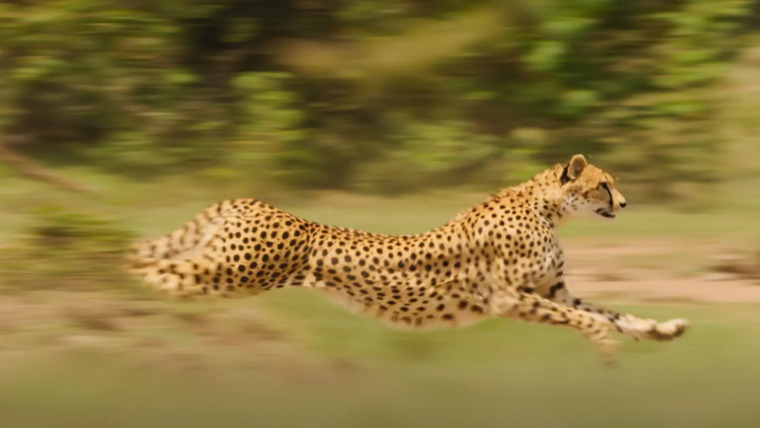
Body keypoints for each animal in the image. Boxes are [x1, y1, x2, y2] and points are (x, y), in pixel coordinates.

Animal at [127, 154, 689, 363]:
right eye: (604, 184)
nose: (625, 203)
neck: (546, 207)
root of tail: (250, 200)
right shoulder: (510, 298)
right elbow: (586, 319)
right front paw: (603, 344)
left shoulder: (553, 289)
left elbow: (611, 312)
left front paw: (660, 329)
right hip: (233, 270)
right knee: (147, 269)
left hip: (226, 270)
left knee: (158, 268)